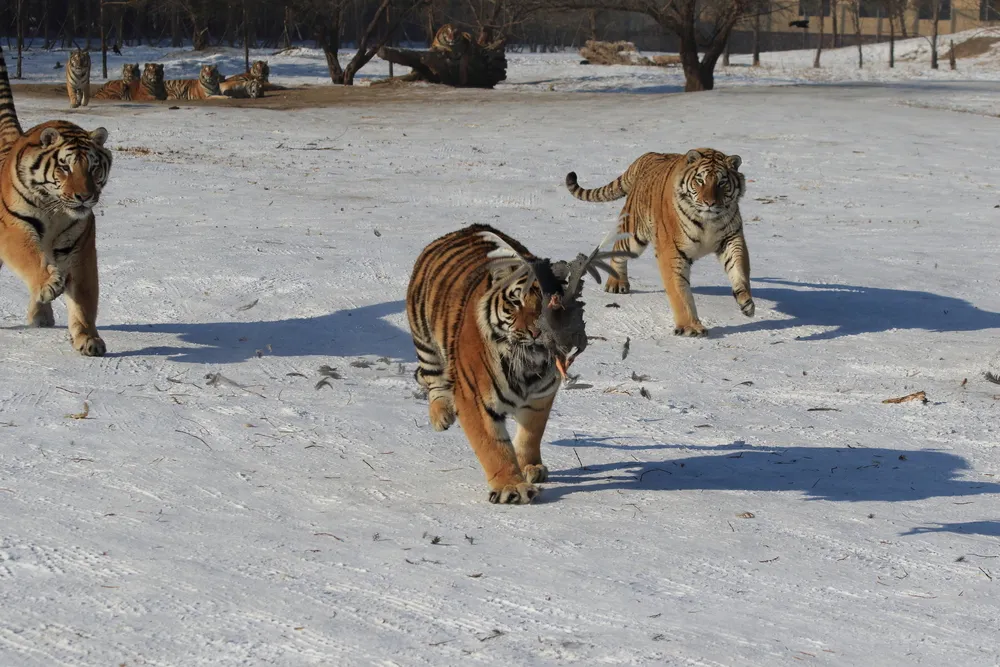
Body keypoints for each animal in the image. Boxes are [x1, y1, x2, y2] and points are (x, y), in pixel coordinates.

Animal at [0, 45, 113, 356]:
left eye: (93, 168)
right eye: (65, 167)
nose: (85, 196)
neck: (55, 210)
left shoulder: (79, 247)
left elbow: (84, 299)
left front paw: (88, 339)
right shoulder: (13, 227)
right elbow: (28, 257)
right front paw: (49, 283)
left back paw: (41, 316)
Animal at [407, 224, 563, 505]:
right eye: (516, 302)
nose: (537, 332)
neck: (528, 365)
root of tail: (468, 228)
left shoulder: (542, 396)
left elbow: (531, 434)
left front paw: (530, 467)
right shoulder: (475, 400)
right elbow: (493, 447)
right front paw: (511, 487)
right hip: (425, 340)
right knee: (434, 378)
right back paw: (441, 415)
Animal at [565, 149, 753, 337]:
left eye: (722, 182)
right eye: (700, 180)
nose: (710, 203)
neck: (708, 222)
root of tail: (648, 155)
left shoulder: (731, 239)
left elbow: (739, 268)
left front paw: (746, 302)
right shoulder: (672, 252)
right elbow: (680, 293)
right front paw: (690, 327)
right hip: (634, 235)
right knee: (617, 249)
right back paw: (616, 284)